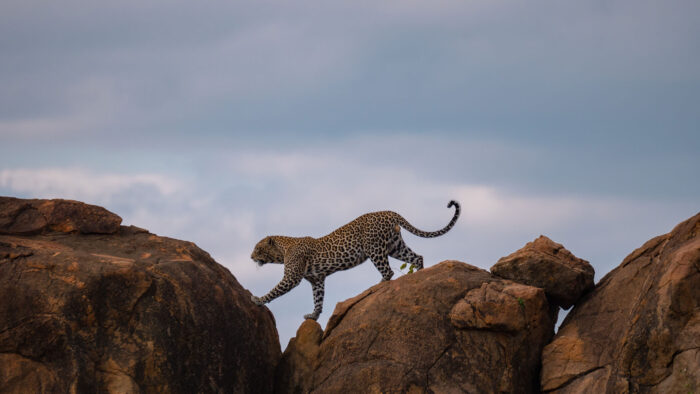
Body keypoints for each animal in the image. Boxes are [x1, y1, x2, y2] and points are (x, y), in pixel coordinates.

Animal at [250, 200, 460, 320]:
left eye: (258, 248)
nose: (251, 257)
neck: (282, 251)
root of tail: (389, 211)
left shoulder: (292, 277)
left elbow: (275, 291)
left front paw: (258, 300)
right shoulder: (317, 280)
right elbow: (318, 298)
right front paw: (314, 315)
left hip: (374, 248)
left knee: (388, 271)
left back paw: (377, 285)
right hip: (395, 246)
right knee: (417, 257)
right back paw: (418, 274)